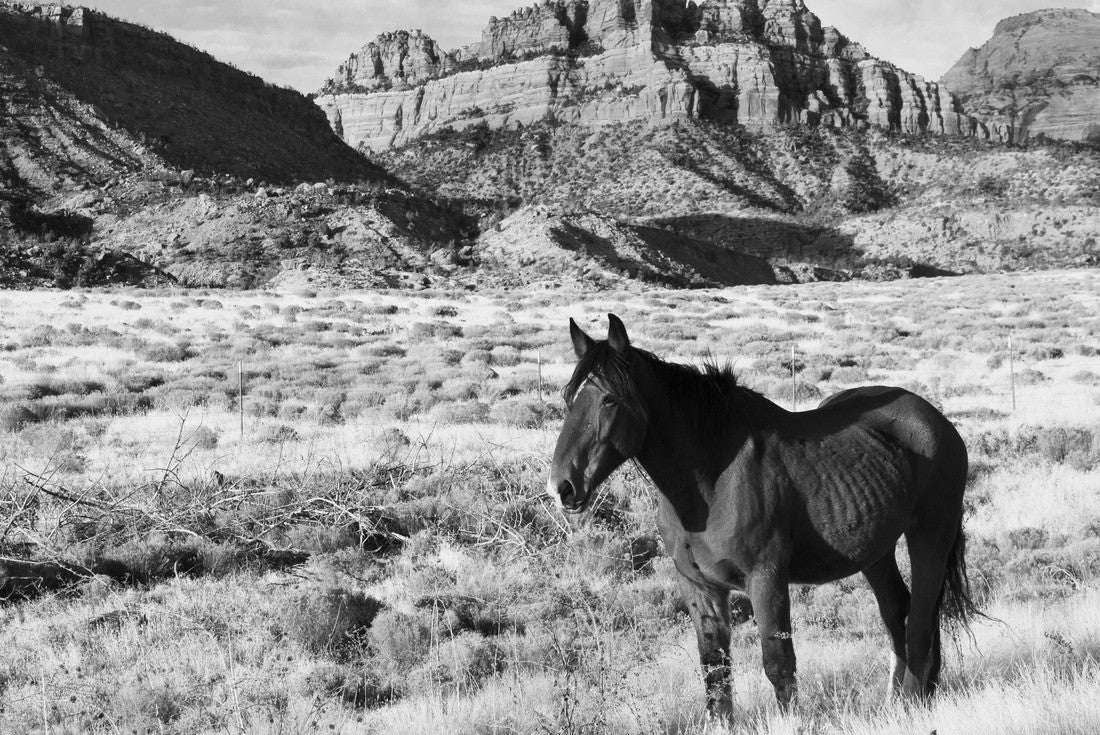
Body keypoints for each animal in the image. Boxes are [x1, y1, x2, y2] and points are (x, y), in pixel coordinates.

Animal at [547, 314, 979, 720]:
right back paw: (897, 701)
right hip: (876, 550)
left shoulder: (766, 579)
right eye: (569, 397)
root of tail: (935, 419)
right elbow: (715, 672)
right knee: (896, 611)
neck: (710, 484)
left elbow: (778, 667)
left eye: (609, 400)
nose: (561, 487)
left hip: (931, 536)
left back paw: (915, 701)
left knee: (921, 618)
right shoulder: (700, 588)